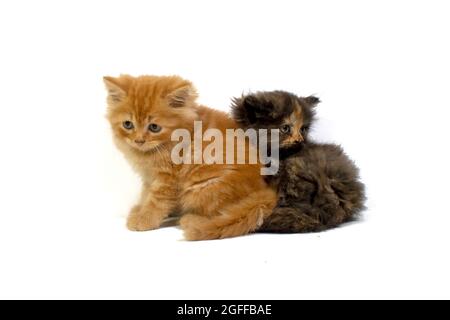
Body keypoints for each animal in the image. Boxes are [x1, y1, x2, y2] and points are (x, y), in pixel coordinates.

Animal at [104, 75, 278, 240]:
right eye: (128, 124)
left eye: (154, 127)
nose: (139, 141)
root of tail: (262, 190)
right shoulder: (149, 177)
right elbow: (146, 194)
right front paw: (139, 209)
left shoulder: (169, 179)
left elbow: (157, 201)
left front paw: (144, 219)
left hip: (202, 186)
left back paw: (190, 220)